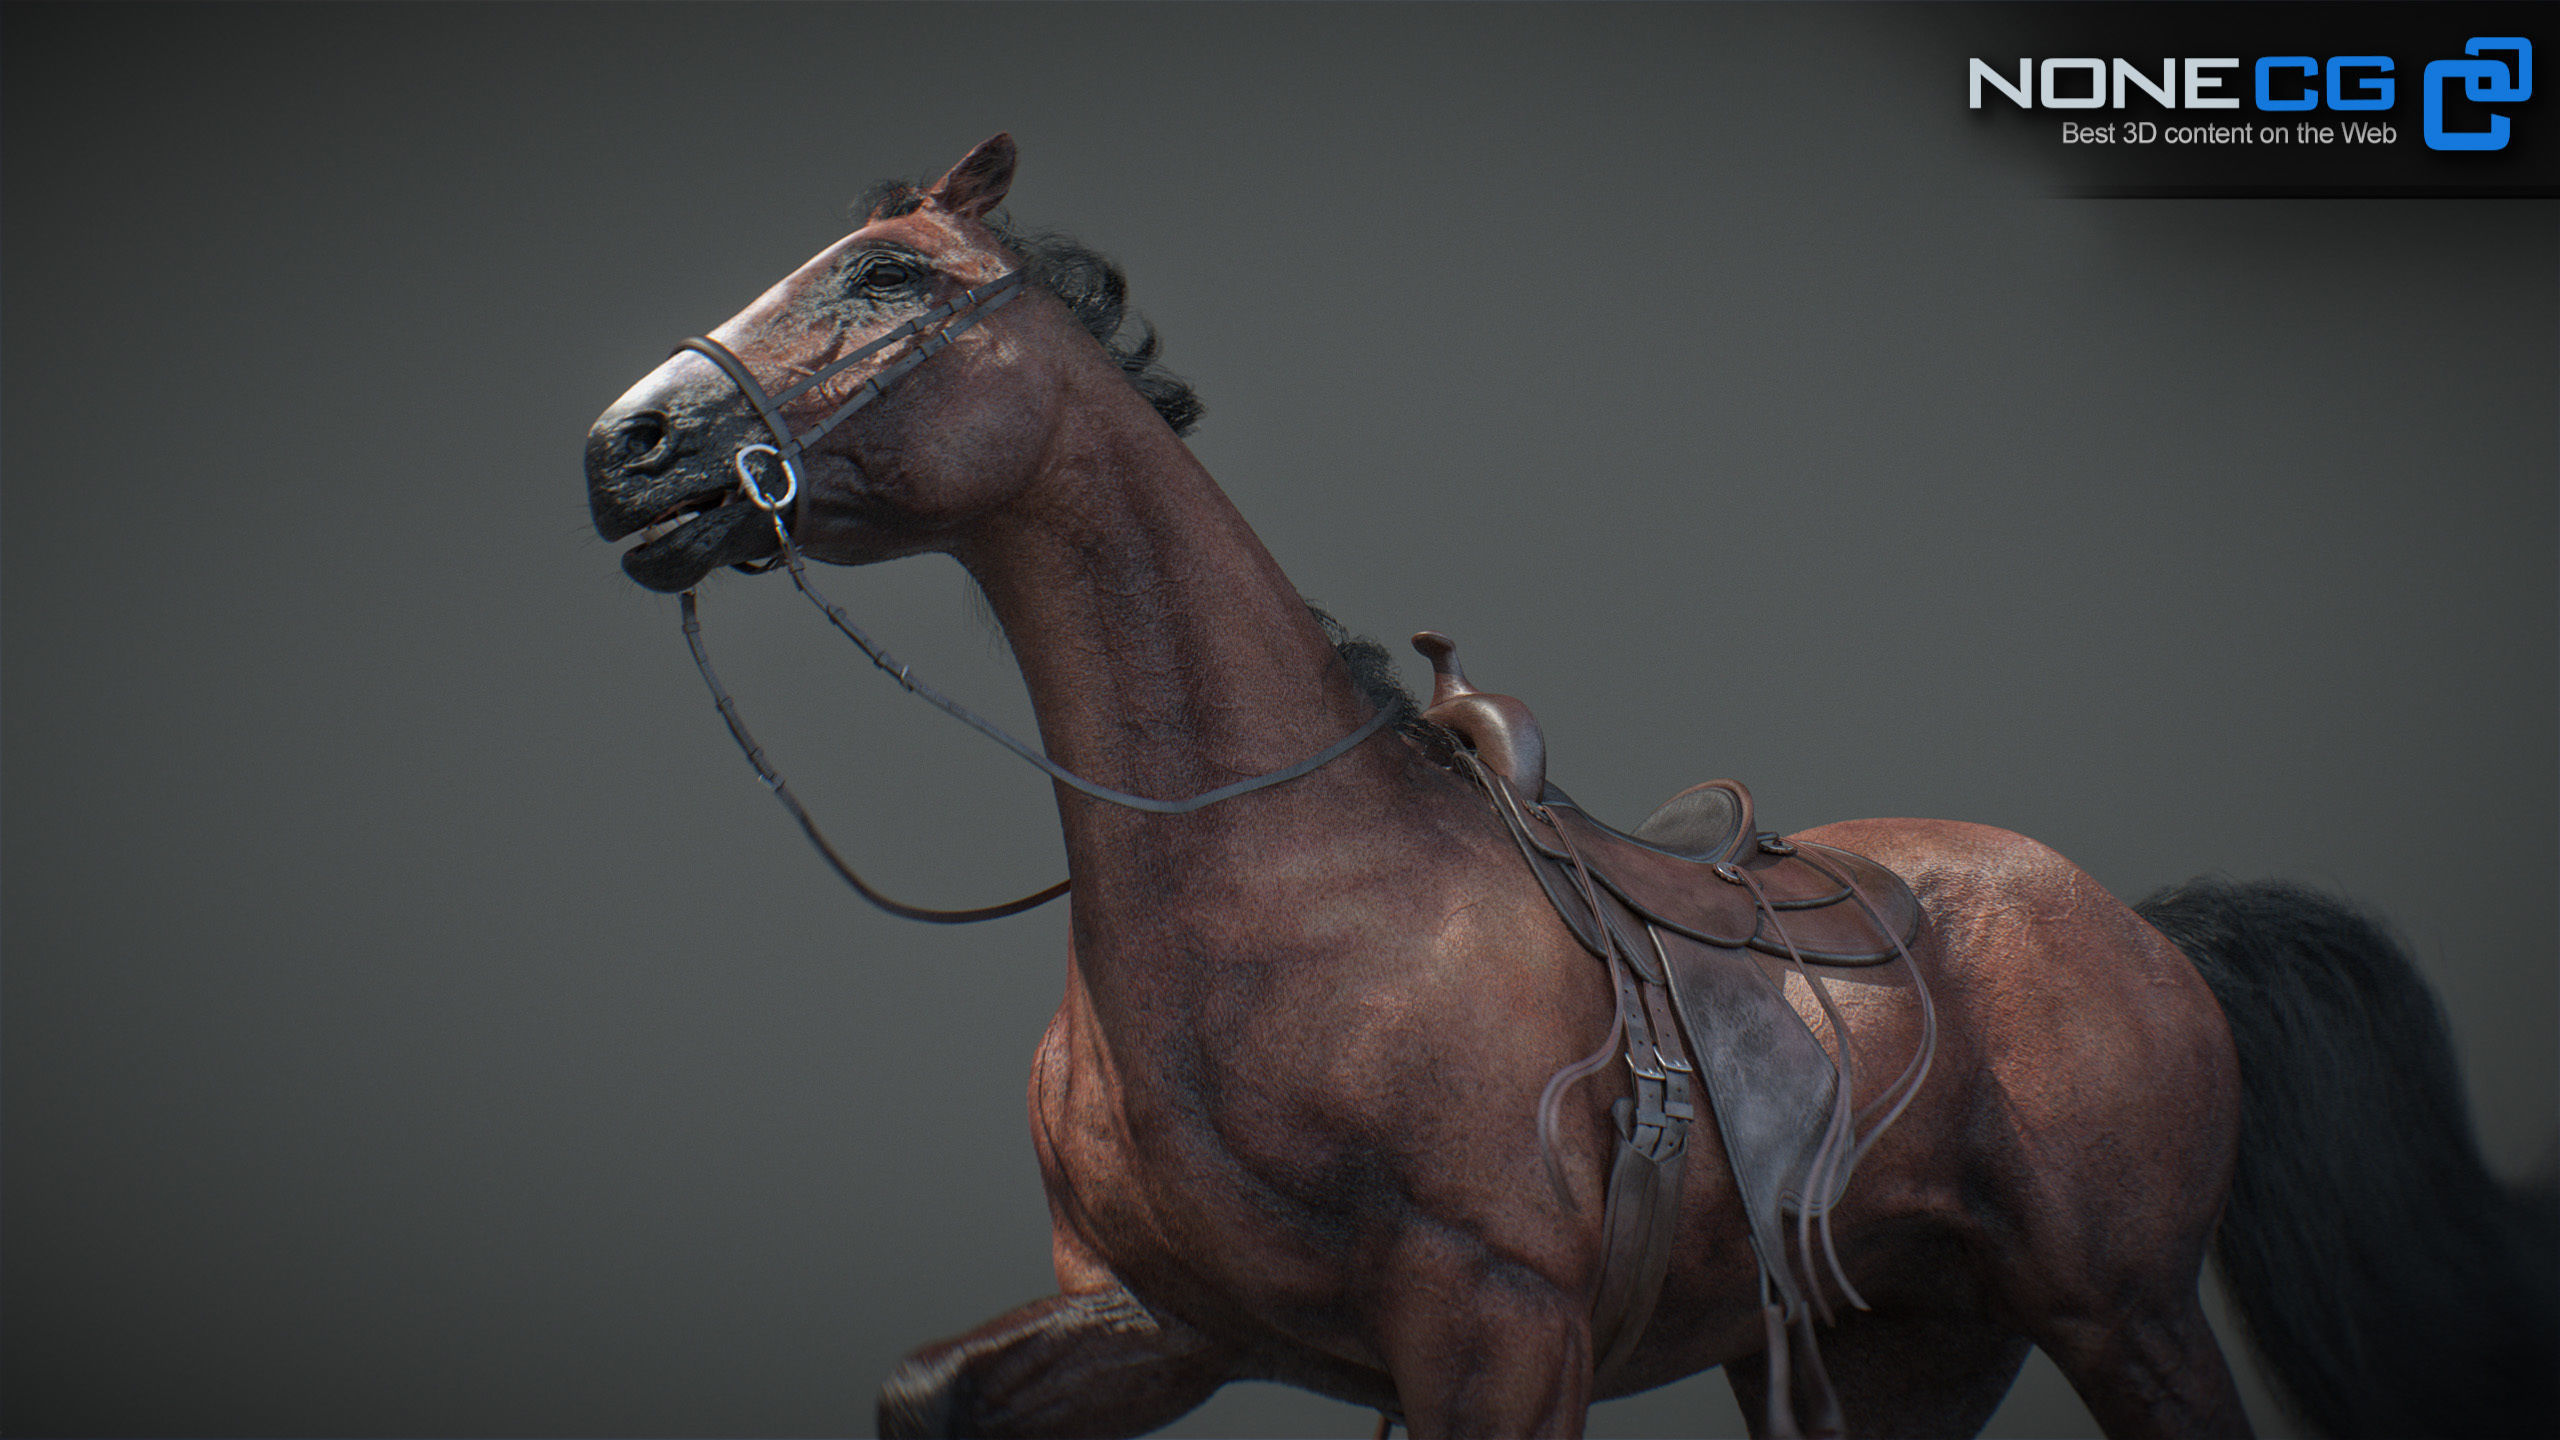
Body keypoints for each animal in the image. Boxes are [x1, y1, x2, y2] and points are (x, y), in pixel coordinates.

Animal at [583, 135, 2554, 1439]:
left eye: (889, 280)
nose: (628, 448)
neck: (1281, 896)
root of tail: (2139, 928)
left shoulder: (1498, 1332)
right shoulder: (1162, 1322)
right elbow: (927, 1392)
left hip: (2126, 1318)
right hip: (1904, 1352)